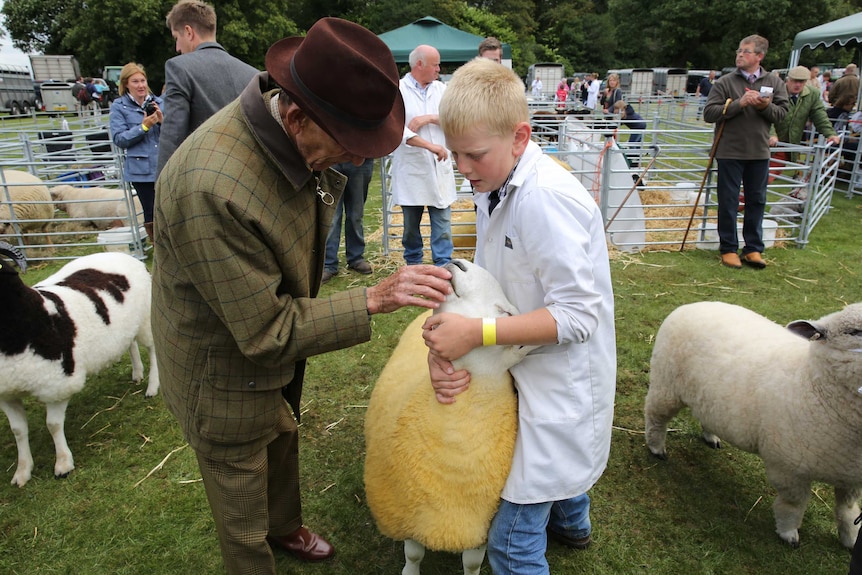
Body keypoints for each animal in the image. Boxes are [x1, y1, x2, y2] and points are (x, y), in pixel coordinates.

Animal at [0, 238, 159, 486]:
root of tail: (124, 255)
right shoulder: (7, 392)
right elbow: (18, 431)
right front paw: (22, 471)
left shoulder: (58, 385)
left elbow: (53, 425)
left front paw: (63, 464)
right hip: (126, 326)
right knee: (130, 343)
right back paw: (137, 374)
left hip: (145, 318)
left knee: (152, 350)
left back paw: (152, 386)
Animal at [364, 260, 532, 575]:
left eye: (506, 314)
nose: (459, 263)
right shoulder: (410, 516)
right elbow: (414, 554)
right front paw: (410, 571)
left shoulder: (479, 526)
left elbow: (472, 562)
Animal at [644, 302, 862, 548]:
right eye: (854, 332)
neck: (811, 382)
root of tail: (694, 304)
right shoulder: (787, 468)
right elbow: (794, 505)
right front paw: (789, 534)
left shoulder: (852, 477)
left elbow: (847, 510)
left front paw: (851, 539)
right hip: (666, 385)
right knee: (655, 417)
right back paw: (656, 448)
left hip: (711, 400)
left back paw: (711, 437)